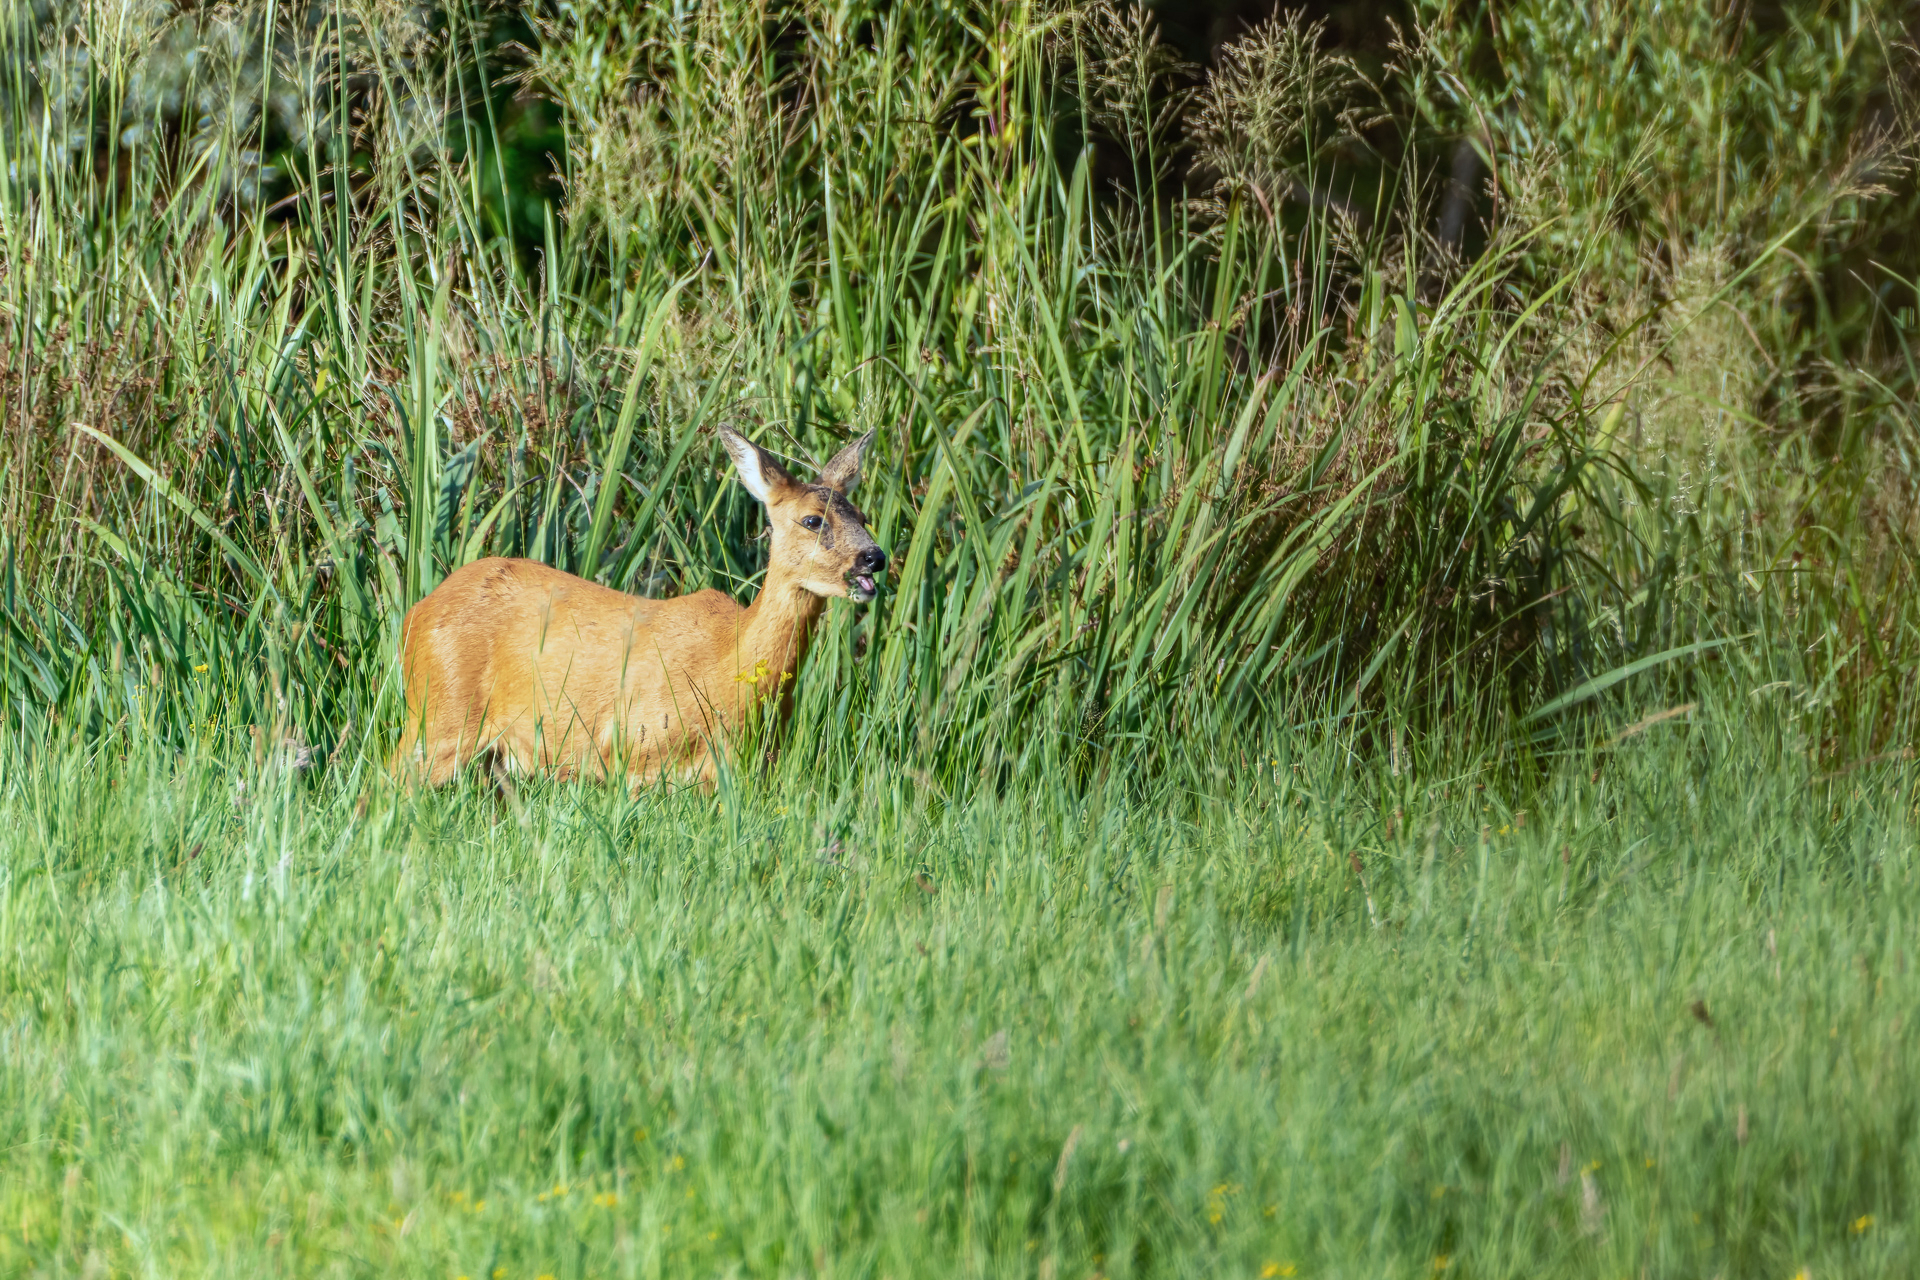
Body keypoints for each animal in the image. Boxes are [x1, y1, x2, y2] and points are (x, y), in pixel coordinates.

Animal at [392, 426, 884, 789]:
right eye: (812, 520)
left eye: (862, 516)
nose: (875, 557)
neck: (730, 665)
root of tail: (415, 614)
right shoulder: (632, 750)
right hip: (439, 715)